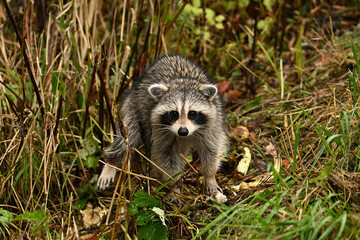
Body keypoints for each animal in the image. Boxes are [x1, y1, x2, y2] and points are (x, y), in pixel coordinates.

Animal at [97, 54, 228, 202]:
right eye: (174, 113)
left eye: (192, 113)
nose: (183, 131)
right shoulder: (160, 131)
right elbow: (167, 158)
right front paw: (174, 186)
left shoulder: (212, 126)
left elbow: (211, 151)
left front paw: (210, 177)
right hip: (133, 107)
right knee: (127, 136)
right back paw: (111, 163)